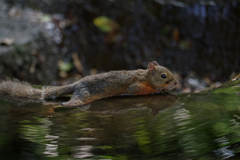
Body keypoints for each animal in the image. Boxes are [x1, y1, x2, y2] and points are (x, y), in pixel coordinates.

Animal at [0, 61, 178, 106]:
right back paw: (66, 105)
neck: (146, 76)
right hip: (83, 94)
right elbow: (137, 90)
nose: (176, 82)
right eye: (163, 76)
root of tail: (76, 84)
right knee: (73, 101)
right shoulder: (136, 84)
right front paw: (156, 91)